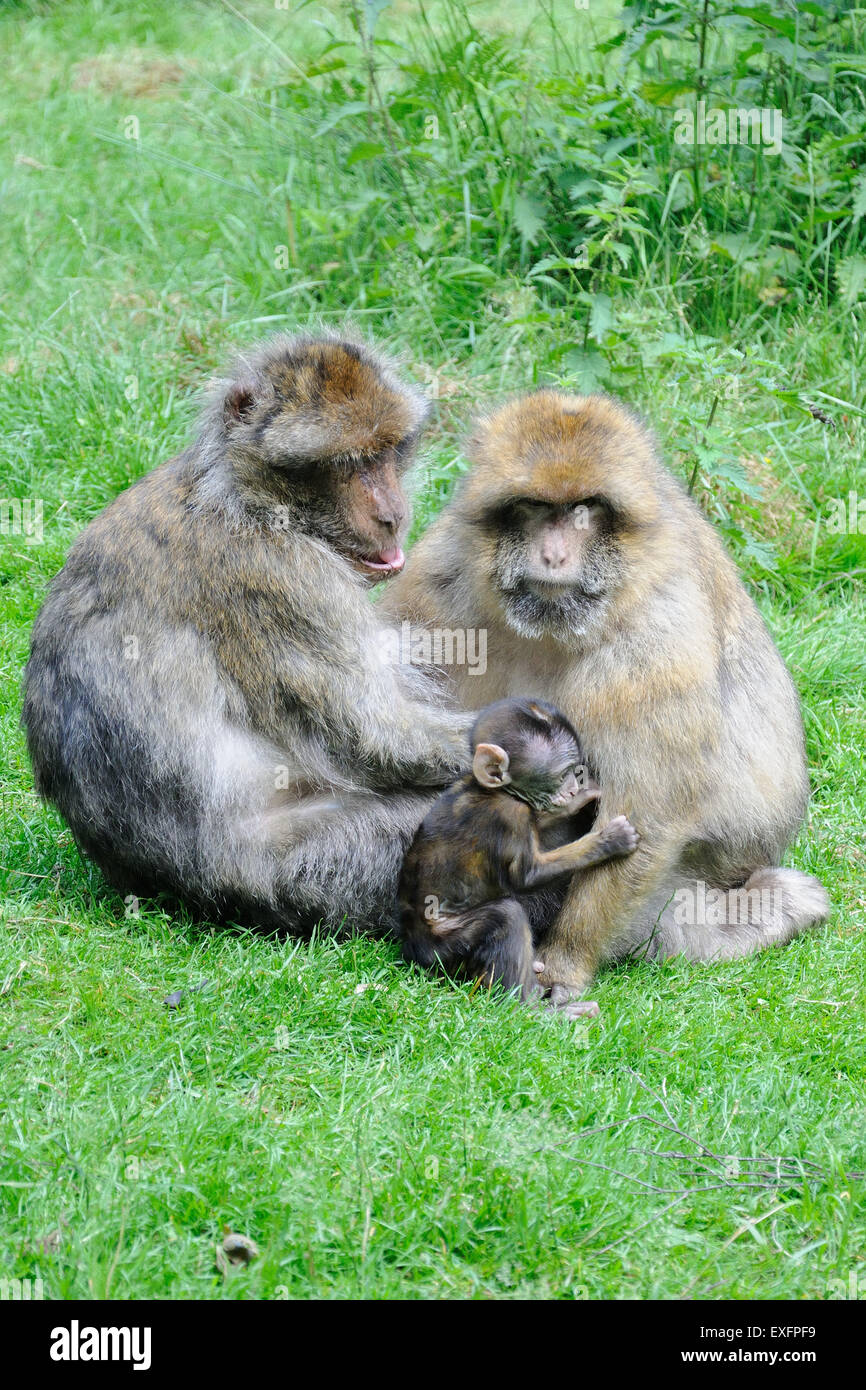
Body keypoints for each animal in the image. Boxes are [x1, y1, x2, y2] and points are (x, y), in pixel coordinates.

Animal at [22, 331, 473, 937]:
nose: (392, 516)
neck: (248, 498)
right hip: (327, 866)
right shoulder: (284, 580)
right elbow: (380, 738)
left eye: (385, 452)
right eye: (346, 463)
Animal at [398, 697, 638, 1013]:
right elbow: (527, 876)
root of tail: (413, 948)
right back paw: (536, 1010)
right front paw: (610, 840)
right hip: (445, 945)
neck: (495, 791)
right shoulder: (510, 815)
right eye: (563, 774)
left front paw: (578, 800)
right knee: (507, 915)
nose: (571, 788)